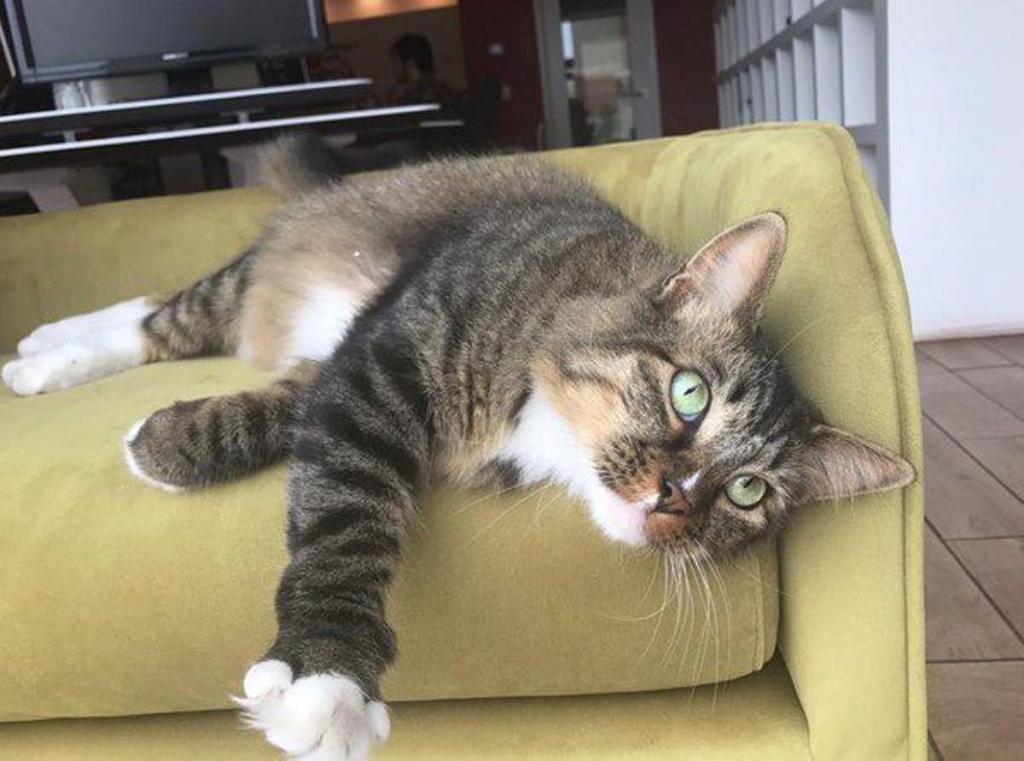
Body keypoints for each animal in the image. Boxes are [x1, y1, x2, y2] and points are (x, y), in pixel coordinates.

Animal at [2, 135, 913, 761]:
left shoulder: (343, 368)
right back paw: (45, 352)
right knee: (162, 314)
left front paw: (165, 439)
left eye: (747, 491)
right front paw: (327, 677)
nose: (674, 496)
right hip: (253, 282)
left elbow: (287, 411)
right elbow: (344, 518)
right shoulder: (384, 357)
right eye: (689, 394)